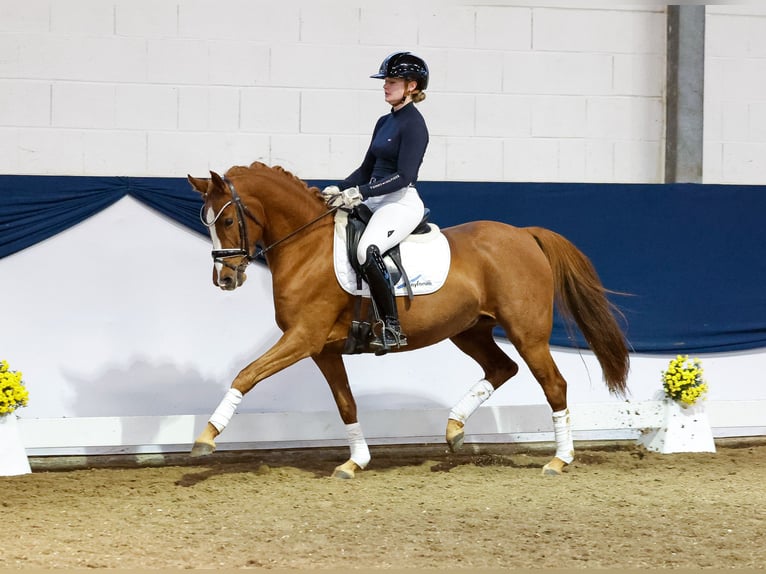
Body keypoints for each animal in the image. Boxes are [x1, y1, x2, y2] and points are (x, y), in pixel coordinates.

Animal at [186, 163, 632, 482]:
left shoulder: (303, 338)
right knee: (502, 367)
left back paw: (560, 459)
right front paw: (356, 461)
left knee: (553, 384)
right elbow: (345, 402)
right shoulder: (323, 349)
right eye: (208, 223)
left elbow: (247, 374)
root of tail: (523, 234)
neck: (306, 246)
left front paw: (206, 437)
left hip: (528, 333)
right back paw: (454, 429)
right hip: (468, 330)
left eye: (227, 221)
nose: (225, 279)